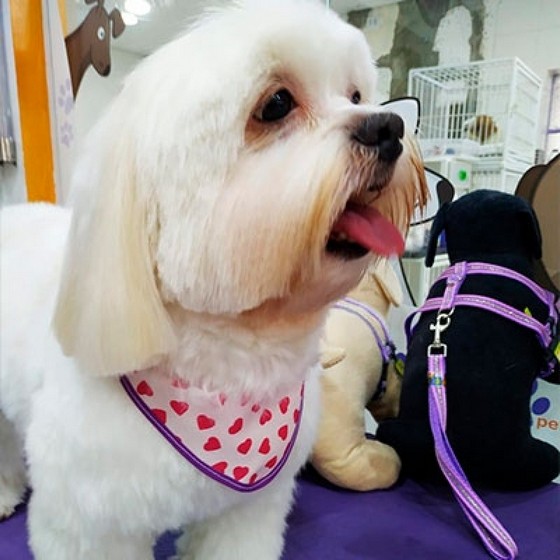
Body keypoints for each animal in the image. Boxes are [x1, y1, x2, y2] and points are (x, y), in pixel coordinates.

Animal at [1, 2, 424, 556]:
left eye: (355, 96)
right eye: (276, 104)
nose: (388, 127)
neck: (231, 365)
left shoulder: (246, 512)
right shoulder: (90, 523)